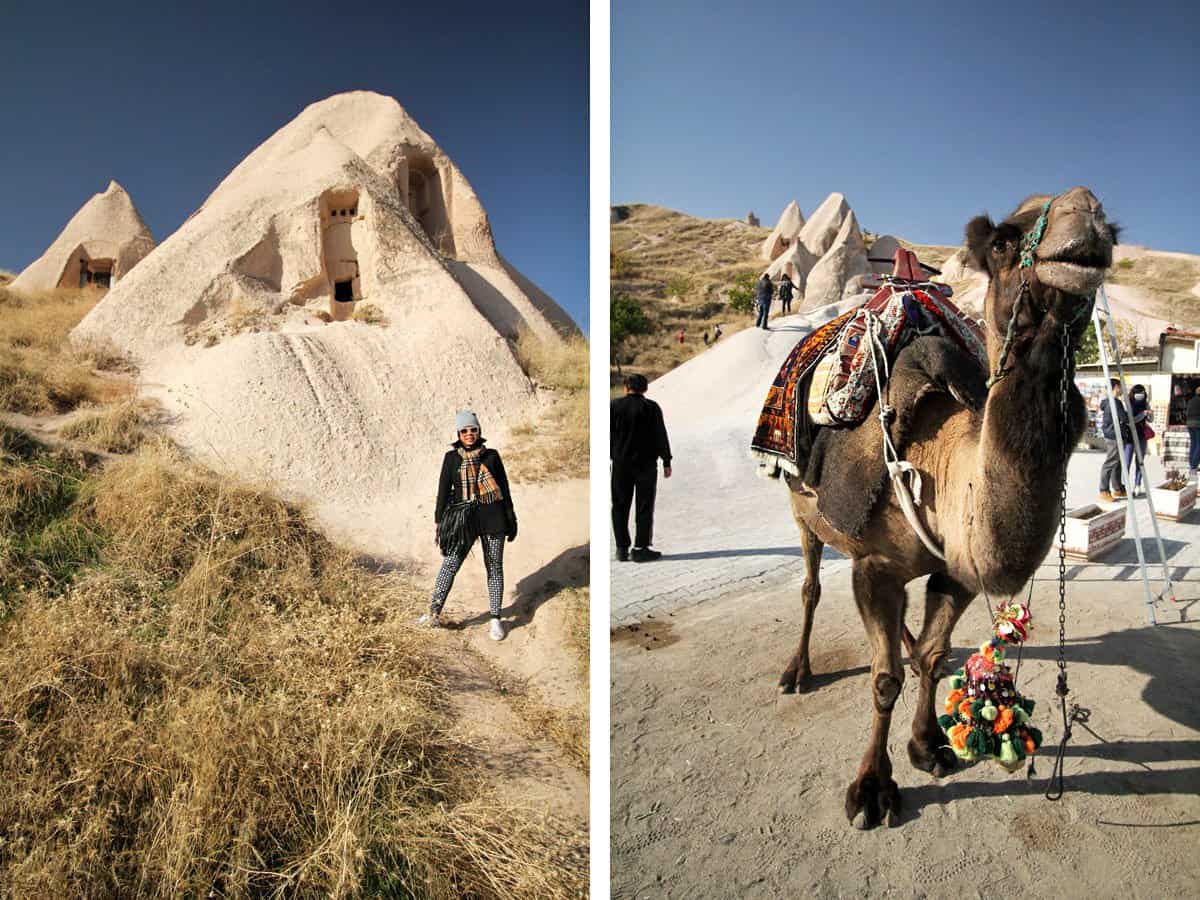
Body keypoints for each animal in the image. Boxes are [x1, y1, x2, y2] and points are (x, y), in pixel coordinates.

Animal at [777, 188, 1113, 830]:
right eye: (1004, 241)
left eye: (1114, 231)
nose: (1086, 214)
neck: (941, 467)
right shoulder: (875, 569)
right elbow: (883, 680)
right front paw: (872, 790)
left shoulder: (956, 570)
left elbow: (933, 660)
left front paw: (928, 745)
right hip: (802, 514)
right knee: (809, 587)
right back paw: (796, 671)